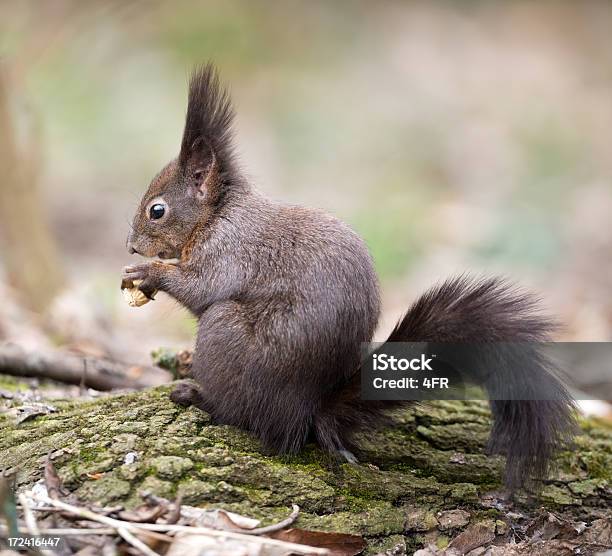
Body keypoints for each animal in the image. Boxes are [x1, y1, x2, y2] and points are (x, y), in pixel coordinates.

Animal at [124, 66, 572, 490]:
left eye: (157, 210)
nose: (130, 246)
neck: (217, 214)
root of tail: (308, 410)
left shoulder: (229, 250)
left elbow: (202, 287)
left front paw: (148, 273)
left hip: (226, 334)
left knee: (243, 414)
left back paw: (199, 396)